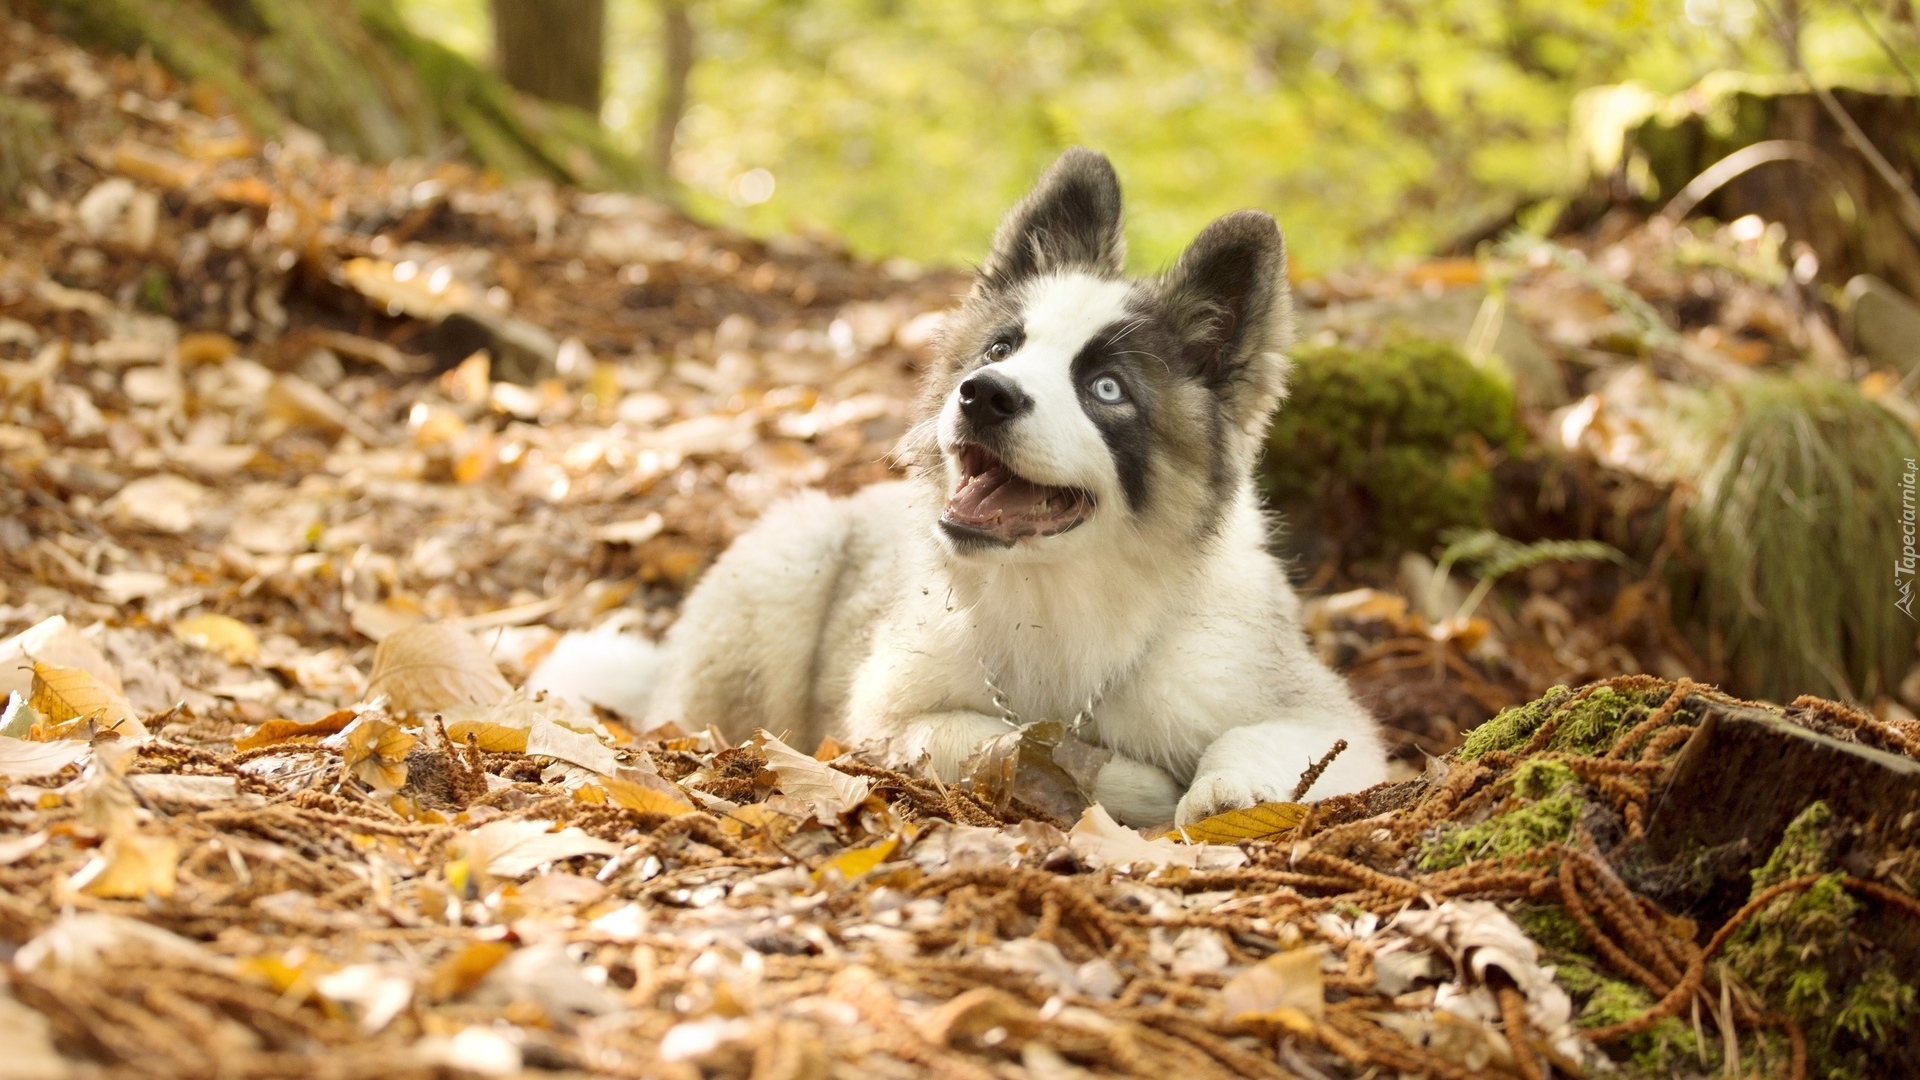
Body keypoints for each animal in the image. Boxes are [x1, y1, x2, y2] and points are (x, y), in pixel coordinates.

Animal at [645, 147, 1382, 818]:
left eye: (1107, 389)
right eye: (1001, 349)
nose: (984, 395)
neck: (1056, 590)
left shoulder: (1326, 718)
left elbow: (1265, 737)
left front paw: (1227, 792)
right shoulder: (886, 719)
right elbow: (1008, 741)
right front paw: (1135, 784)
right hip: (793, 555)